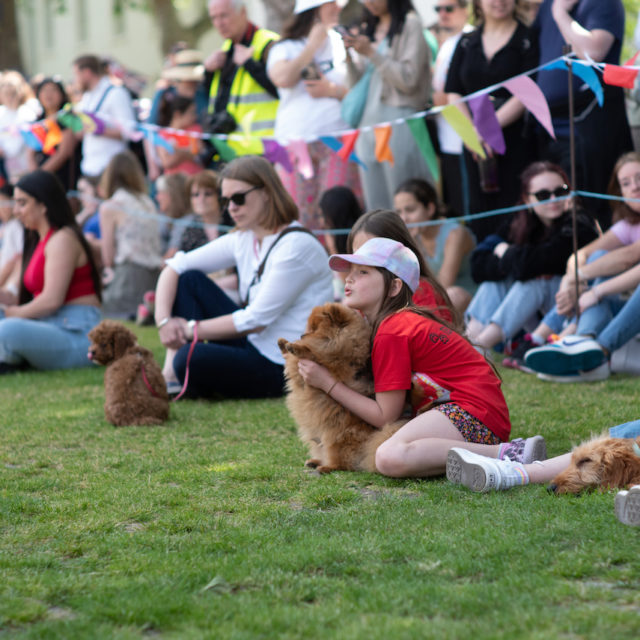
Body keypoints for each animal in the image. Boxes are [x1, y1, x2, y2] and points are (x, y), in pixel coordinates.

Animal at [276, 302, 402, 472]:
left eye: (315, 329)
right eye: (309, 328)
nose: (302, 336)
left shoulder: (332, 364)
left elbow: (312, 354)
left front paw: (296, 347)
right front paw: (283, 342)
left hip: (336, 438)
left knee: (343, 463)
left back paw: (326, 468)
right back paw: (315, 461)